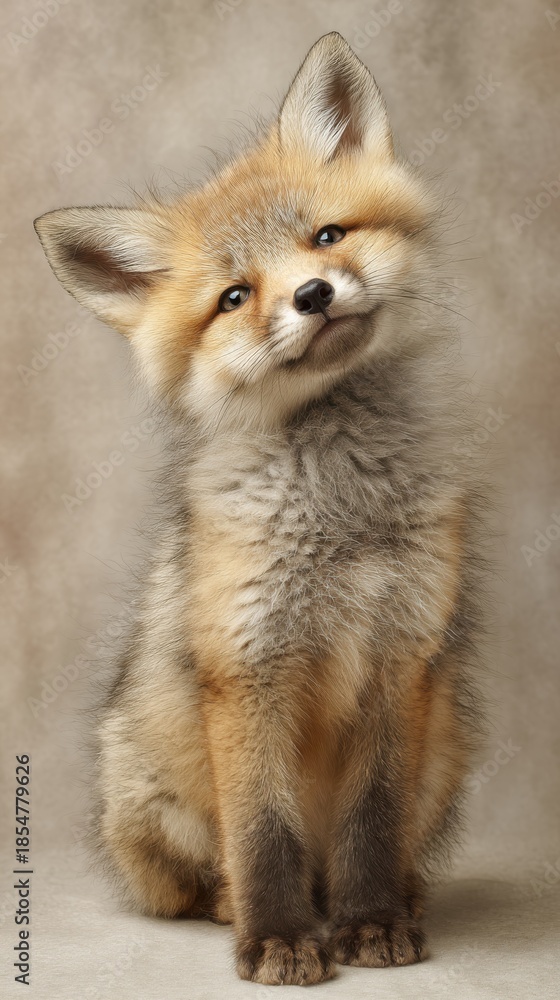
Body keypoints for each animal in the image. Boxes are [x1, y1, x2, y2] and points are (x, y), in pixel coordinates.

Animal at [34, 32, 485, 987]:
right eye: (234, 298)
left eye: (328, 236)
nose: (312, 294)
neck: (340, 518)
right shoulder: (249, 665)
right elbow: (263, 833)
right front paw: (277, 940)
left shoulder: (401, 657)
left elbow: (371, 824)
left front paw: (369, 921)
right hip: (145, 785)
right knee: (198, 881)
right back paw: (241, 909)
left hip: (446, 741)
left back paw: (387, 902)